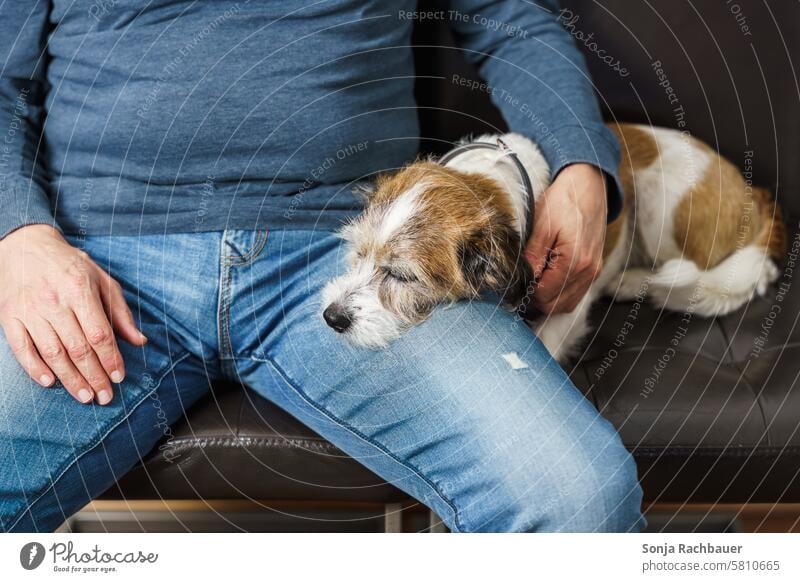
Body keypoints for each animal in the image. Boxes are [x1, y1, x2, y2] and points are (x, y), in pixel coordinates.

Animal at [322, 124, 784, 360]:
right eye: (358, 253)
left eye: (402, 275)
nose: (332, 317)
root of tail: (755, 195)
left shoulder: (572, 290)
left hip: (660, 201)